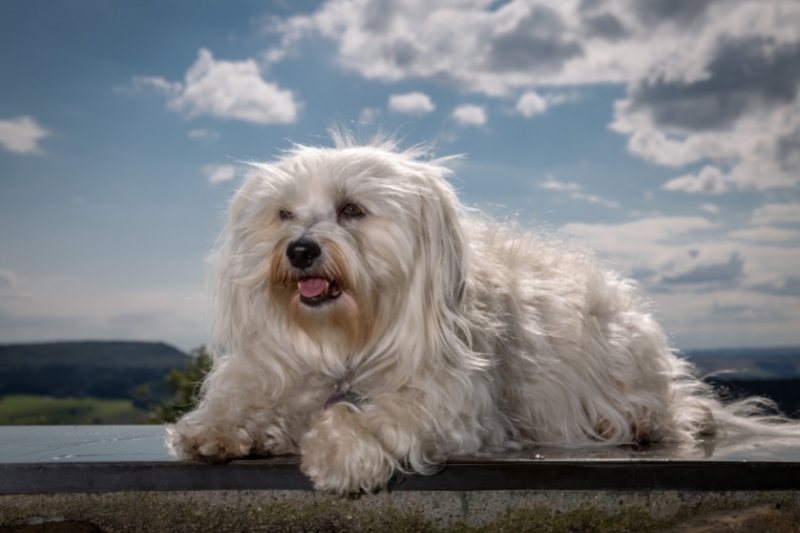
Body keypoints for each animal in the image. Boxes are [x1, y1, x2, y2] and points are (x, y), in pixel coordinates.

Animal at [167, 135, 792, 492]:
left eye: (351, 209)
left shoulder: (457, 405)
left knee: (675, 410)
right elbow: (247, 398)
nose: (299, 250)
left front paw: (339, 450)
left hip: (622, 355)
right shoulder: (279, 372)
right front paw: (216, 429)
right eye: (283, 214)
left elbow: (381, 413)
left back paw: (647, 421)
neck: (346, 341)